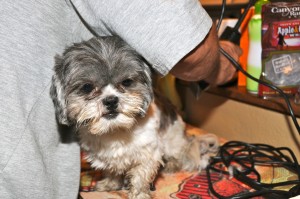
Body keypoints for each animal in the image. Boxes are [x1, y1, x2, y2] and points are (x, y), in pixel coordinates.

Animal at [49, 36, 218, 199]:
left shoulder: (149, 154)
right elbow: (112, 170)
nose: (111, 100)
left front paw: (139, 194)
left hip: (173, 140)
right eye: (87, 87)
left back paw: (171, 164)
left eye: (127, 82)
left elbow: (140, 177)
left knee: (178, 154)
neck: (116, 130)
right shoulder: (107, 157)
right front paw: (111, 183)